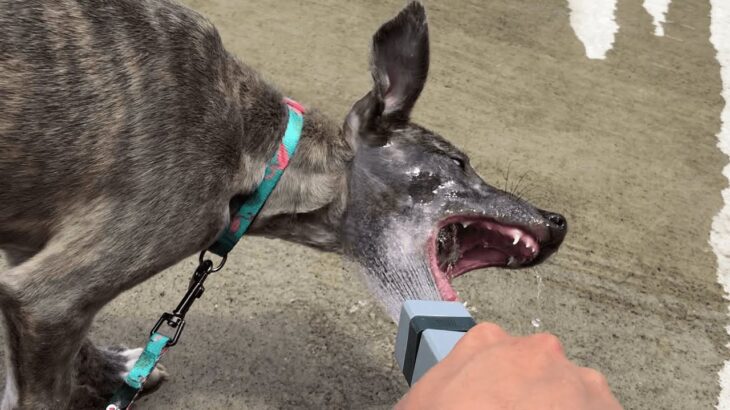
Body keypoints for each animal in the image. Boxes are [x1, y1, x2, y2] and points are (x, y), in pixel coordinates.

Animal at [0, 1, 564, 408]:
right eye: (459, 162)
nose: (558, 221)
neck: (263, 149)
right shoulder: (51, 298)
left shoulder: (28, 266)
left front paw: (115, 373)